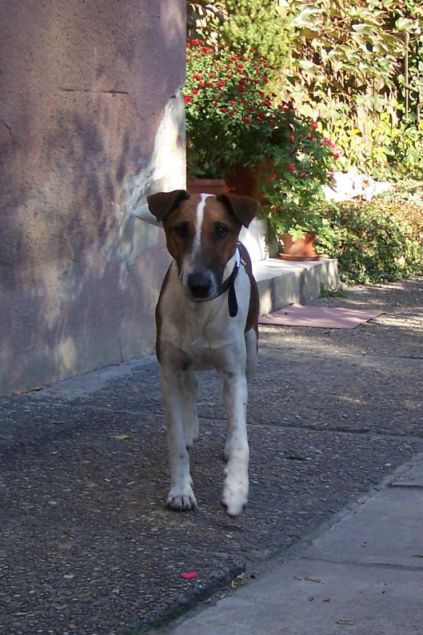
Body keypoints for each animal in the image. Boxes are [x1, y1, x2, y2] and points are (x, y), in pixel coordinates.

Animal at [147, 189, 260, 516]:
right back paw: (190, 429)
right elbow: (174, 439)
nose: (198, 284)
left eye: (221, 229)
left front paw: (235, 491)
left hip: (251, 349)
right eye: (180, 229)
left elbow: (241, 439)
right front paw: (181, 491)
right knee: (192, 384)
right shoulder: (169, 370)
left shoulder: (234, 374)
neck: (199, 312)